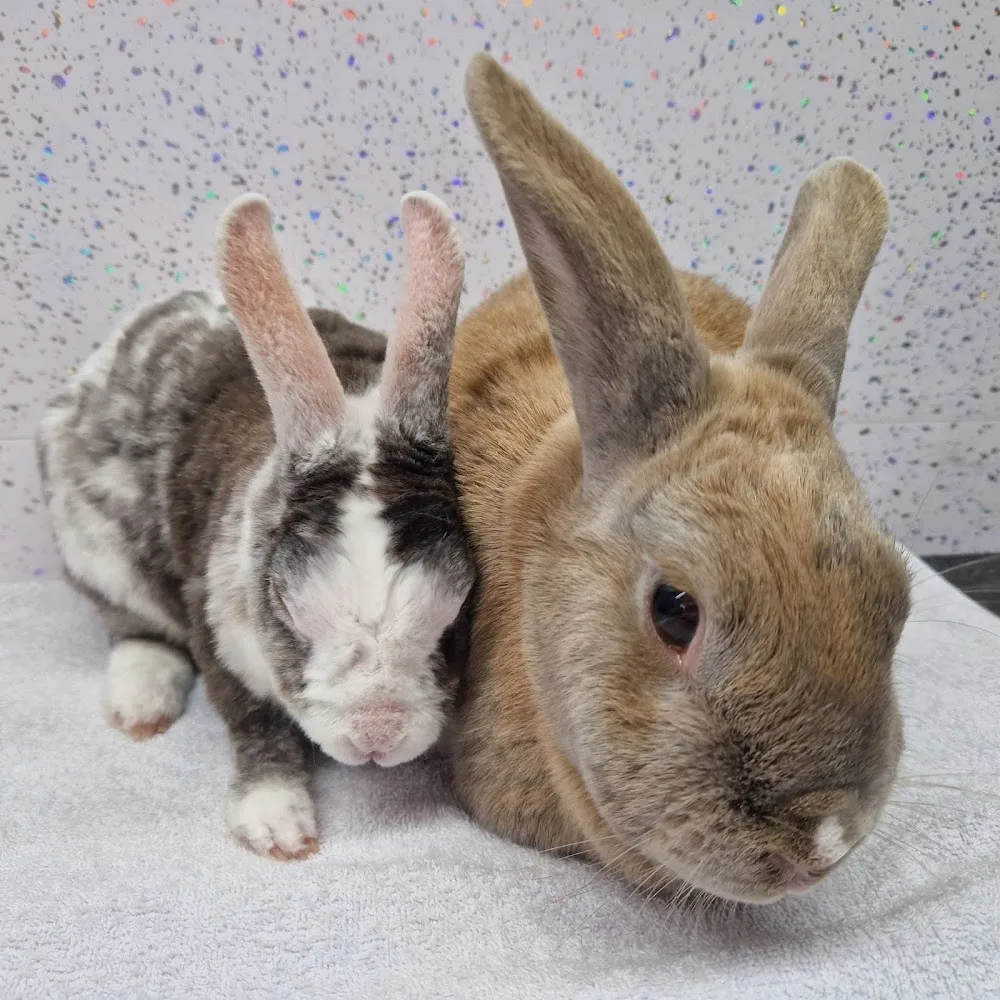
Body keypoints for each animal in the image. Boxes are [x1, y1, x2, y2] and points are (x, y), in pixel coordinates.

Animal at [37, 190, 474, 860]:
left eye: (455, 617)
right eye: (288, 609)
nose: (375, 735)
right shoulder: (216, 628)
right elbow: (253, 720)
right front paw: (277, 826)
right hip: (97, 551)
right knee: (132, 626)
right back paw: (142, 705)